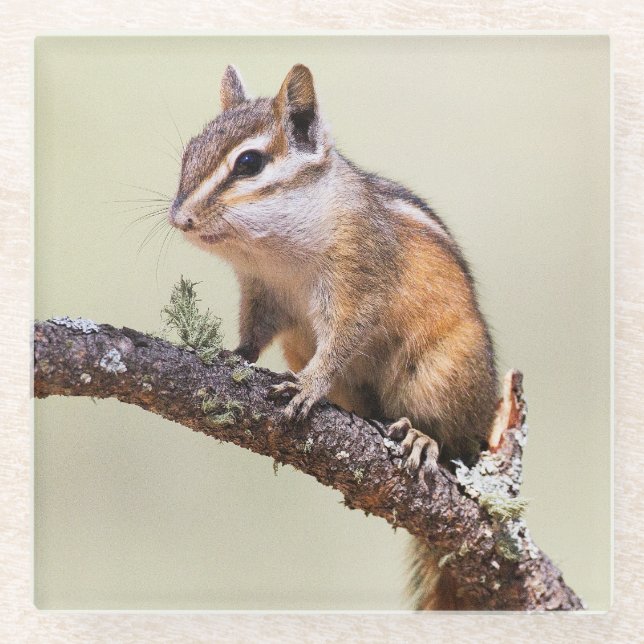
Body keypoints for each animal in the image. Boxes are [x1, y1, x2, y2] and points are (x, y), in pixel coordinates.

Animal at [168, 64, 499, 610]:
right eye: (189, 152)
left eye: (249, 163)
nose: (179, 219)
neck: (275, 252)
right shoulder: (262, 293)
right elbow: (254, 332)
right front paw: (233, 355)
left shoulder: (357, 282)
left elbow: (343, 339)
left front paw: (307, 386)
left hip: (443, 374)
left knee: (455, 446)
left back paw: (422, 437)